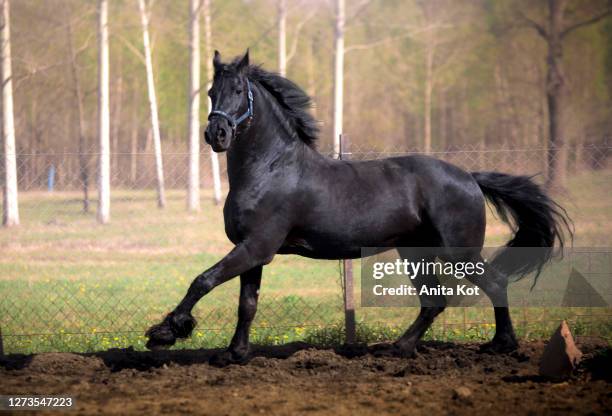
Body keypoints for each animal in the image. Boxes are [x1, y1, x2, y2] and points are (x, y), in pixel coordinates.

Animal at [146, 50, 572, 366]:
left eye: (237, 88)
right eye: (211, 92)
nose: (215, 134)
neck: (270, 169)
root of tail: (468, 176)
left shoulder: (256, 247)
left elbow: (203, 280)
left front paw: (165, 333)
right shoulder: (254, 251)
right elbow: (246, 304)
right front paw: (235, 353)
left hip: (459, 253)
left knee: (492, 283)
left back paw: (500, 345)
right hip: (416, 252)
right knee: (434, 301)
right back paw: (402, 348)